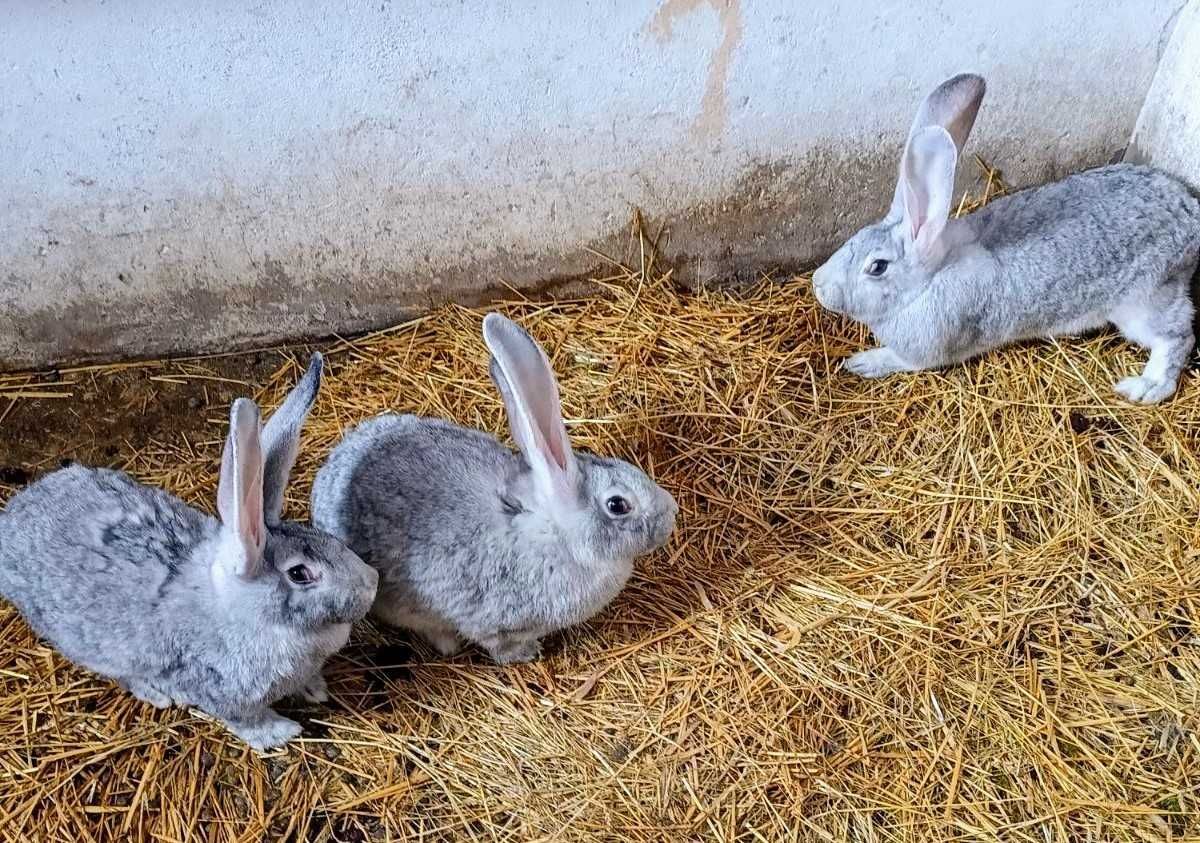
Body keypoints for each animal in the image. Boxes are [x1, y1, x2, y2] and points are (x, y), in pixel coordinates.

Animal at [0, 355, 376, 754]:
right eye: (300, 574)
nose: (373, 583)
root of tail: (12, 518)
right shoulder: (219, 689)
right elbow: (245, 720)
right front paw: (280, 732)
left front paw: (315, 689)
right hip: (90, 646)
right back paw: (157, 693)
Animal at [309, 314, 676, 667]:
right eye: (618, 504)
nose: (671, 513)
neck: (556, 535)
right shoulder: (493, 622)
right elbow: (497, 643)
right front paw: (527, 653)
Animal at [806, 70, 1200, 403]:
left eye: (877, 267)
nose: (818, 284)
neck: (930, 279)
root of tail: (1190, 216)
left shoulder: (924, 350)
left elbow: (901, 360)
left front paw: (862, 362)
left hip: (1145, 301)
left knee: (1177, 336)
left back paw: (1144, 387)